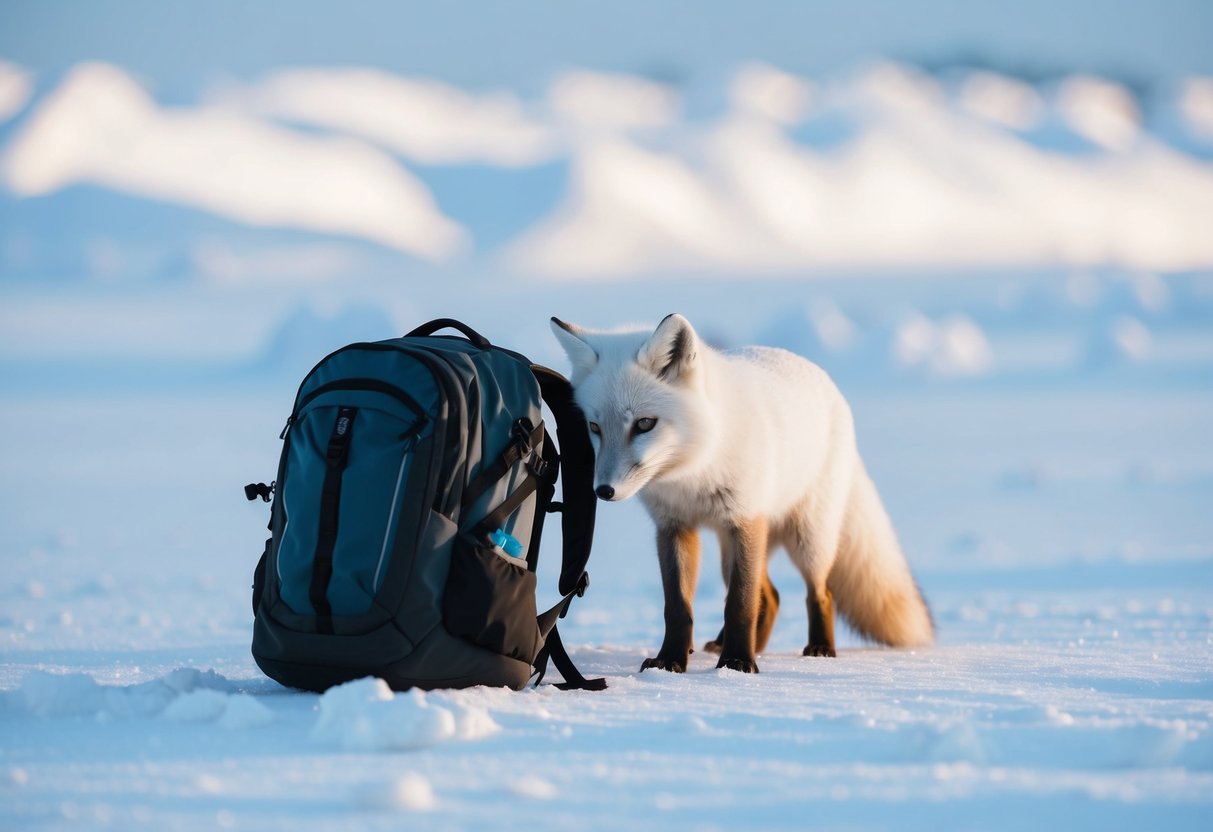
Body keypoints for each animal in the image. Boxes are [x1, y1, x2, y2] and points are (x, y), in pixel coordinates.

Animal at [551, 313, 933, 674]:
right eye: (594, 427)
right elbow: (677, 608)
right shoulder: (674, 527)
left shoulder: (746, 520)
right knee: (773, 596)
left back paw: (818, 649)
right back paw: (740, 646)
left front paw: (737, 664)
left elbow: (740, 604)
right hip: (730, 549)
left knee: (820, 593)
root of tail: (823, 379)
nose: (603, 491)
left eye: (645, 424)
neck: (693, 473)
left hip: (807, 540)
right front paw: (671, 661)